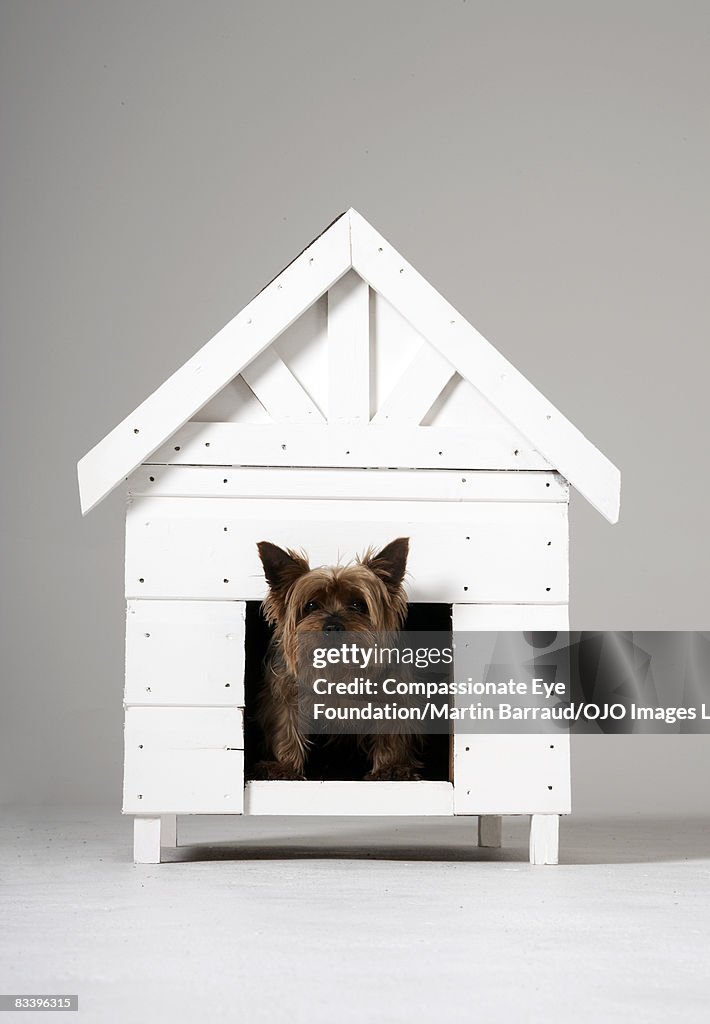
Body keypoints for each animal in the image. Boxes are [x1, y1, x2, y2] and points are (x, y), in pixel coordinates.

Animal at [253, 536, 420, 782]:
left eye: (358, 605)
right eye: (311, 605)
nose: (332, 626)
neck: (338, 669)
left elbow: (391, 729)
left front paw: (392, 767)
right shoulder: (285, 692)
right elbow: (286, 724)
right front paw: (285, 767)